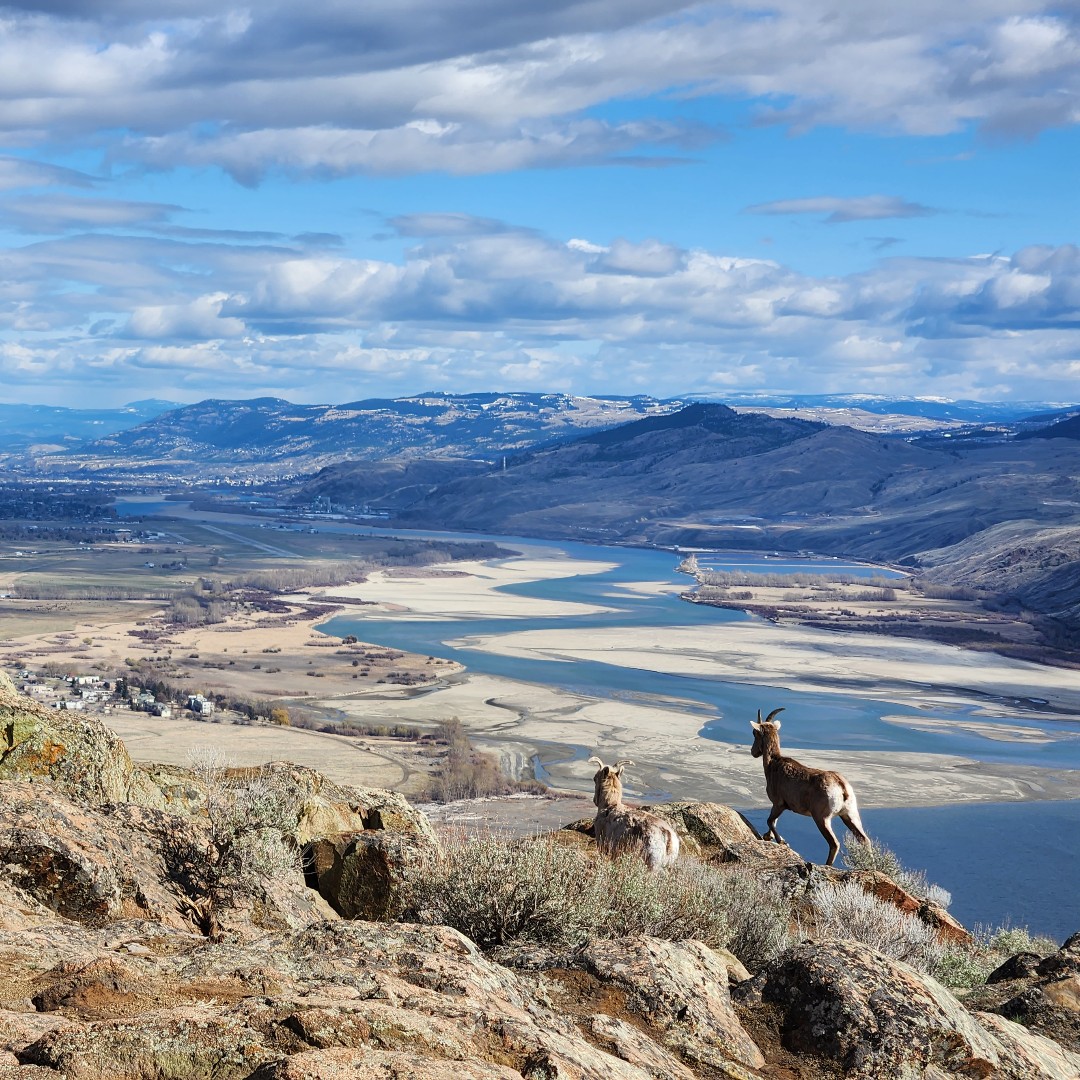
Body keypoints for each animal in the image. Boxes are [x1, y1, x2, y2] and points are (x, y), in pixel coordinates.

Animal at [750, 707, 870, 867]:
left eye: (754, 733)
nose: (753, 752)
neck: (773, 764)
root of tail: (842, 787)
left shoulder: (779, 804)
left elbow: (770, 821)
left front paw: (782, 841)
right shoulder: (779, 806)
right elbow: (773, 821)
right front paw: (768, 837)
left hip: (821, 818)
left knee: (834, 843)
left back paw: (827, 865)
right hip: (849, 815)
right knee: (864, 840)